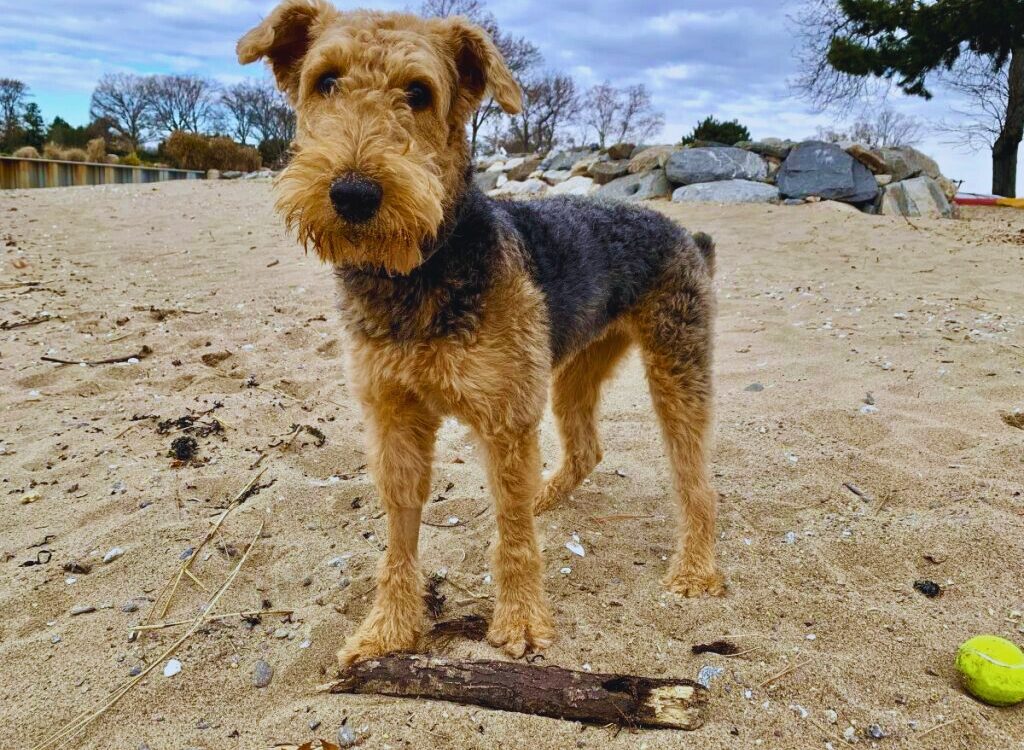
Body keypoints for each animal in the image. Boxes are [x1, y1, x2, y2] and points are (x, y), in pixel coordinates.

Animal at [236, 0, 724, 668]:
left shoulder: (505, 416)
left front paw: (519, 623)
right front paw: (387, 628)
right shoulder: (394, 415)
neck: (421, 272)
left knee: (694, 480)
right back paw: (546, 495)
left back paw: (695, 571)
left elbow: (513, 540)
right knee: (584, 450)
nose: (353, 194)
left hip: (676, 366)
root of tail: (687, 235)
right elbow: (401, 534)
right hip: (576, 365)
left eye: (419, 91)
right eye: (325, 81)